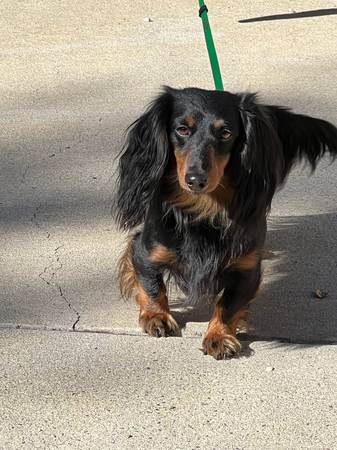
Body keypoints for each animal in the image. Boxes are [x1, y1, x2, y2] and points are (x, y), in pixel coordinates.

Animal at [115, 88, 336, 360]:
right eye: (182, 129)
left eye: (226, 133)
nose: (196, 180)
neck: (203, 210)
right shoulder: (145, 251)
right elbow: (152, 284)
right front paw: (157, 316)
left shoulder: (246, 268)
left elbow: (228, 304)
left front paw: (219, 336)